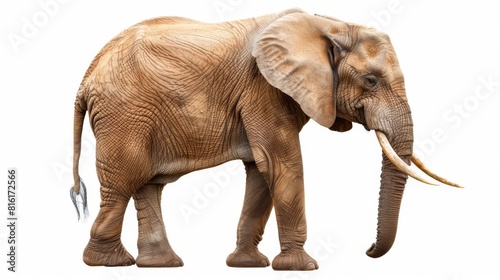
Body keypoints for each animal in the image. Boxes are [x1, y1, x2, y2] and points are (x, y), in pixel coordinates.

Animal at [70, 8, 460, 270]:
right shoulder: (263, 88)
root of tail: (87, 76)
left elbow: (260, 171)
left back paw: (162, 264)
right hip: (123, 114)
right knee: (124, 181)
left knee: (147, 184)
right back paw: (109, 262)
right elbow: (282, 163)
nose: (368, 251)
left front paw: (248, 265)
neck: (328, 25)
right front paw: (303, 267)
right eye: (371, 81)